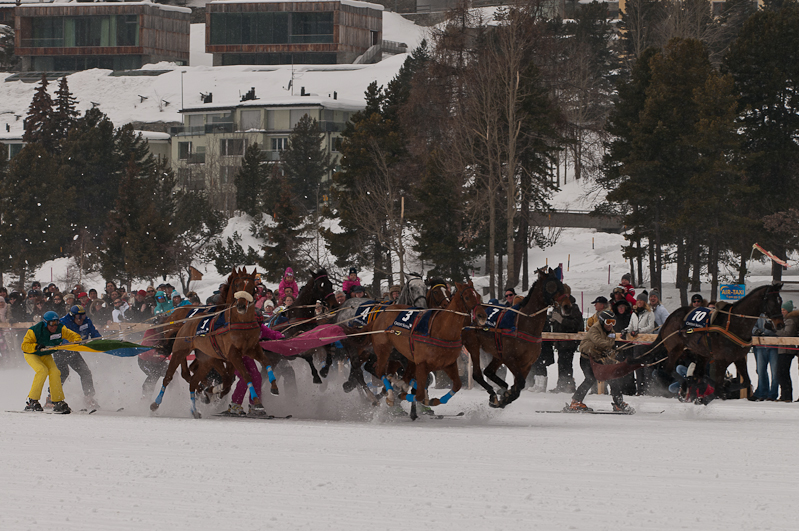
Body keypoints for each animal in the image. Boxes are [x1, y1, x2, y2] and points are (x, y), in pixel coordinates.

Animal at [150, 270, 276, 420]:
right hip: (181, 352)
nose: (241, 306)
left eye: (253, 288)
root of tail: (174, 315)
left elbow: (231, 378)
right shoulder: (226, 356)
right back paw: (157, 403)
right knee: (172, 376)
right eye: (237, 285)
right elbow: (237, 377)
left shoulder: (235, 355)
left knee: (191, 375)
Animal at [364, 280, 484, 422]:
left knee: (389, 374)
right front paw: (411, 403)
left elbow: (456, 385)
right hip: (383, 351)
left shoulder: (448, 364)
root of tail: (382, 313)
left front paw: (429, 402)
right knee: (378, 372)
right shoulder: (420, 364)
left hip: (395, 356)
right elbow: (418, 392)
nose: (482, 315)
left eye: (478, 296)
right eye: (466, 297)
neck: (441, 329)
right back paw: (389, 395)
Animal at [460, 268, 572, 410]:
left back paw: (501, 389)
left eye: (561, 285)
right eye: (551, 286)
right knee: (477, 374)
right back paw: (494, 394)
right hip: (474, 345)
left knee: (488, 371)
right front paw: (505, 396)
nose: (567, 306)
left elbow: (519, 385)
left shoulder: (527, 363)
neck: (524, 324)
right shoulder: (510, 358)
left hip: (497, 353)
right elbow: (520, 382)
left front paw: (507, 395)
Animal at [648, 284, 788, 396]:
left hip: (701, 353)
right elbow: (718, 386)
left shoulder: (739, 357)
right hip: (675, 348)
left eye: (780, 301)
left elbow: (745, 382)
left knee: (696, 374)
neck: (735, 323)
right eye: (772, 301)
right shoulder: (721, 360)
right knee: (668, 368)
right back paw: (685, 385)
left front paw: (726, 386)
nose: (780, 324)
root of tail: (669, 318)